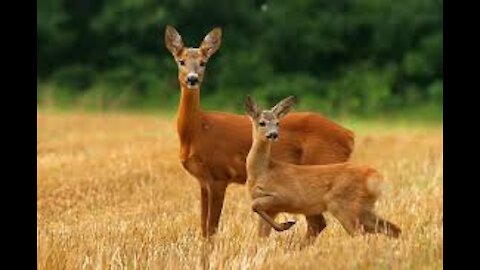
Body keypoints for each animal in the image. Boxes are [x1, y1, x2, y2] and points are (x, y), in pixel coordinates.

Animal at [165, 25, 356, 238]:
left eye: (203, 62)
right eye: (181, 61)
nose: (192, 79)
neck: (198, 130)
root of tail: (349, 136)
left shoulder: (219, 176)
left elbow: (212, 228)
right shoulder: (203, 181)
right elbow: (204, 229)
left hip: (319, 168)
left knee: (318, 222)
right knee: (318, 223)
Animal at [244, 96, 402, 238]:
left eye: (277, 123)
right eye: (262, 123)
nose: (273, 134)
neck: (263, 171)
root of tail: (374, 176)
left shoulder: (284, 197)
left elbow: (254, 205)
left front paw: (286, 224)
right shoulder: (270, 207)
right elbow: (261, 233)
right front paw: (283, 227)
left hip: (341, 204)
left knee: (359, 234)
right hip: (364, 207)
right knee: (392, 229)